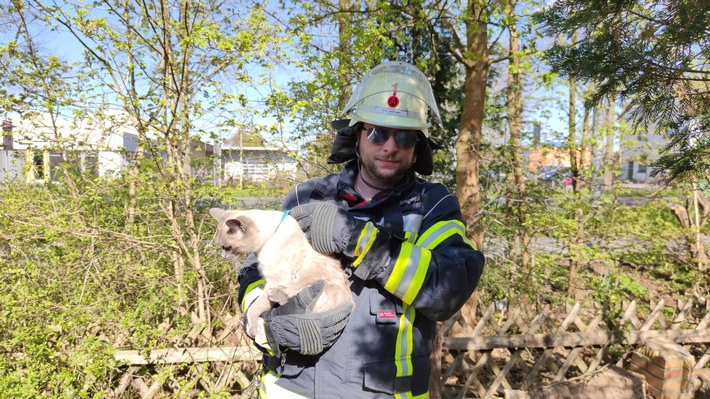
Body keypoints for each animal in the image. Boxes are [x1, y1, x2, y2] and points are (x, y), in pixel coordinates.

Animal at [211, 208, 356, 340]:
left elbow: (254, 308)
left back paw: (277, 296)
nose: (223, 256)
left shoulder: (275, 280)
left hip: (318, 285)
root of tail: (351, 306)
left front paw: (251, 328)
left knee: (300, 301)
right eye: (222, 247)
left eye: (228, 248)